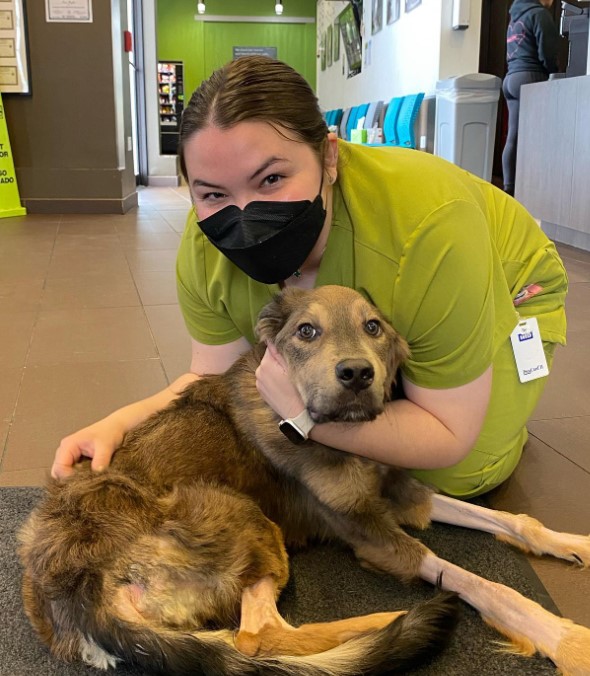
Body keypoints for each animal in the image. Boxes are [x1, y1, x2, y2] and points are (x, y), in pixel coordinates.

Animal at [17, 286, 590, 676]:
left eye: (373, 327)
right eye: (306, 332)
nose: (357, 375)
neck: (337, 432)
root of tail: (77, 591)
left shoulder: (401, 494)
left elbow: (513, 519)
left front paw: (571, 542)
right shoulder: (371, 534)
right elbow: (483, 584)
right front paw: (561, 636)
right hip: (245, 517)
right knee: (258, 639)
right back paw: (381, 624)